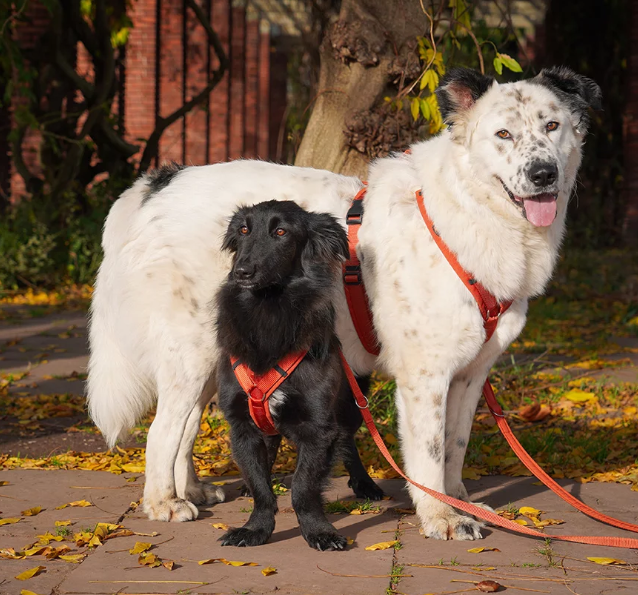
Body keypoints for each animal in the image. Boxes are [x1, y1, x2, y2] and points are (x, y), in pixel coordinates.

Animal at [215, 200, 382, 550]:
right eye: (244, 230)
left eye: (281, 232)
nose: (241, 272)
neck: (268, 312)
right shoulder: (243, 427)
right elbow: (261, 487)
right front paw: (255, 529)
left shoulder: (318, 428)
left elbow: (304, 488)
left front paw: (319, 532)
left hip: (351, 406)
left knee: (348, 441)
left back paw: (364, 483)